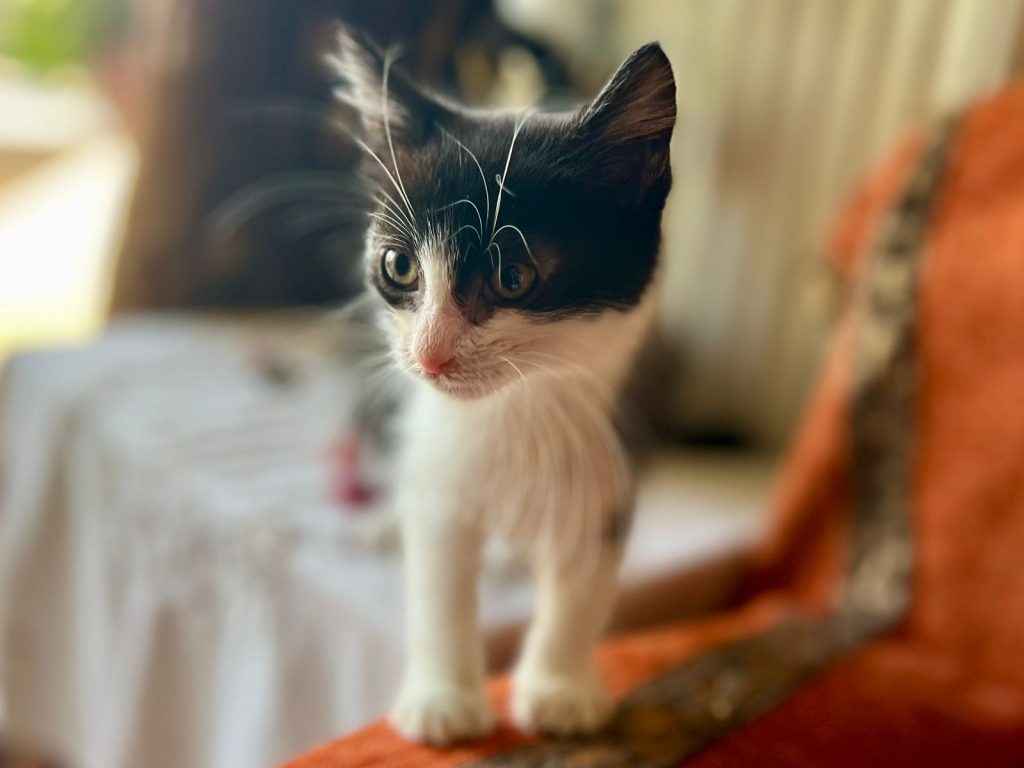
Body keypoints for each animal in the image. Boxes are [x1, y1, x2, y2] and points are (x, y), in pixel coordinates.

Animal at [332, 27, 676, 745]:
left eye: (512, 277)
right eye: (398, 265)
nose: (430, 357)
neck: (511, 413)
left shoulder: (613, 456)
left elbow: (582, 586)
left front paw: (559, 690)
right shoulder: (438, 472)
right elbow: (437, 583)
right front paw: (444, 700)